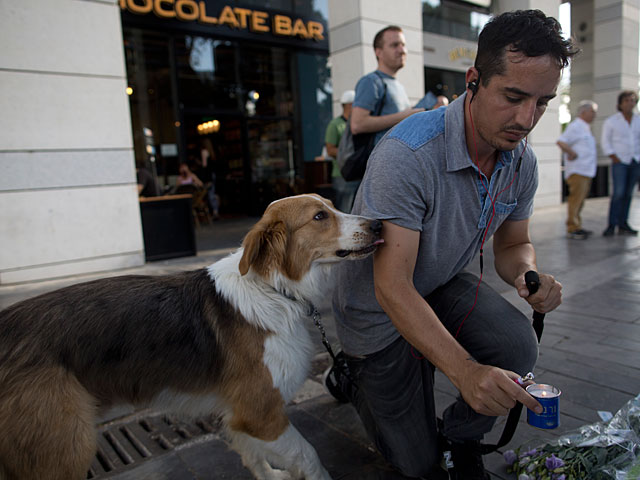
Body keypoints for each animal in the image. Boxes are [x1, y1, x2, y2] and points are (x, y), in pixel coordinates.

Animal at [0, 194, 382, 480]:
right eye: (319, 216)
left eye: (331, 206)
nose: (379, 224)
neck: (273, 288)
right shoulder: (262, 412)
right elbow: (309, 455)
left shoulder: (241, 414)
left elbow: (252, 454)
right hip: (66, 450)